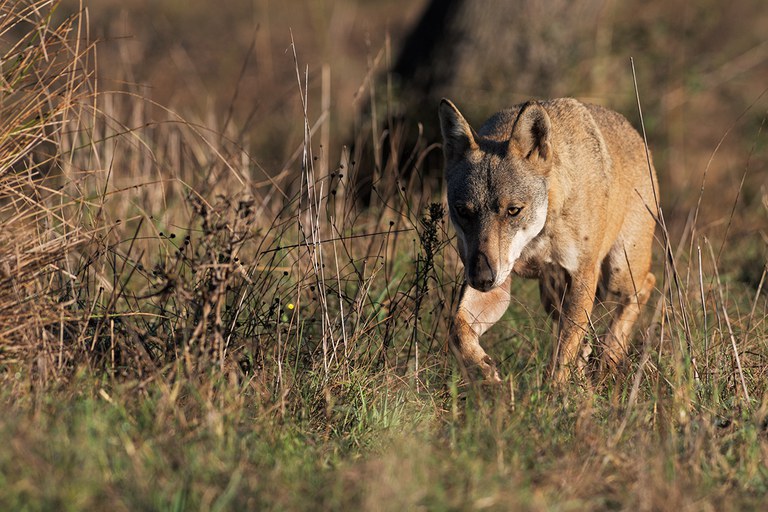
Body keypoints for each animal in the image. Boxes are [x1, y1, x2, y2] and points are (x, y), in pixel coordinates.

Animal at [440, 98, 656, 382]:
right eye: (463, 212)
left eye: (513, 210)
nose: (482, 278)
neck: (536, 241)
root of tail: (637, 136)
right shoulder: (499, 283)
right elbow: (457, 329)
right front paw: (485, 372)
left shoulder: (583, 276)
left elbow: (564, 350)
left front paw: (556, 391)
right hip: (552, 296)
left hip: (618, 275)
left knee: (646, 285)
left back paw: (608, 357)